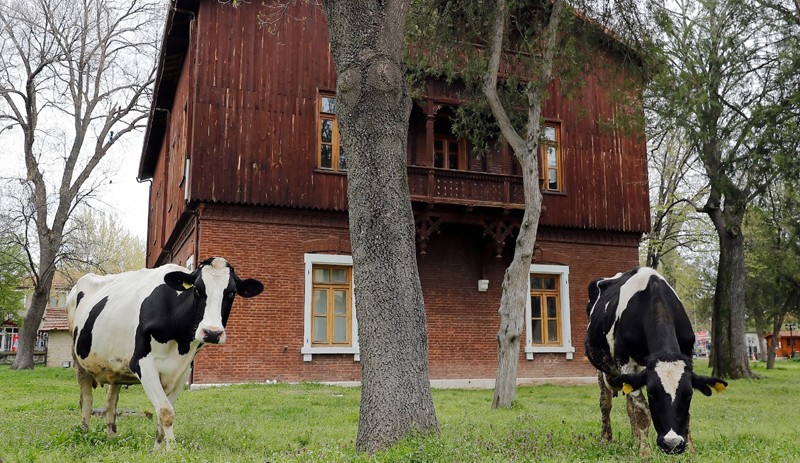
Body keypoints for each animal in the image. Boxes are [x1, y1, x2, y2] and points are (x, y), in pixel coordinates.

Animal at [67, 258, 264, 450]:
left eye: (231, 293)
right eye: (197, 290)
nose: (212, 332)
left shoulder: (184, 370)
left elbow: (168, 409)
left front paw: (159, 449)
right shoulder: (143, 364)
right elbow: (165, 411)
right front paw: (172, 452)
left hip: (114, 367)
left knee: (110, 402)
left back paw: (111, 437)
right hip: (78, 360)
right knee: (86, 399)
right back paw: (84, 433)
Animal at [584, 266, 728, 458]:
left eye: (689, 394)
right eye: (652, 394)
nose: (672, 444)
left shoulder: (687, 355)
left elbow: (687, 414)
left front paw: (691, 449)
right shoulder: (625, 362)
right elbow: (642, 411)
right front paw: (645, 451)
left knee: (629, 406)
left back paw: (634, 439)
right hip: (603, 369)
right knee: (605, 403)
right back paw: (606, 439)